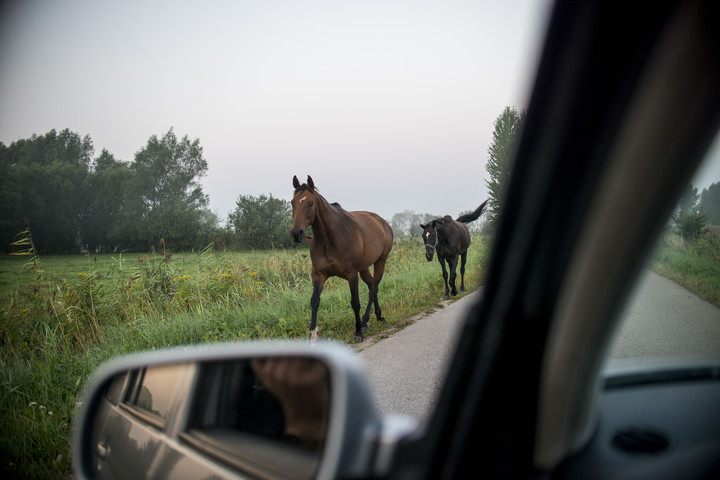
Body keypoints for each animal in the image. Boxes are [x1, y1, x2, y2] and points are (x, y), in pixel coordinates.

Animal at [290, 175, 396, 342]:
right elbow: (314, 301)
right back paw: (378, 316)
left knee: (373, 288)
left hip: (381, 261)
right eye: (292, 202)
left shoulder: (351, 275)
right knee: (372, 284)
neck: (330, 238)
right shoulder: (318, 274)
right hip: (364, 267)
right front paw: (312, 334)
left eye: (311, 203)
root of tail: (383, 222)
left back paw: (364, 322)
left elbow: (355, 302)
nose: (296, 233)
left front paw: (357, 332)